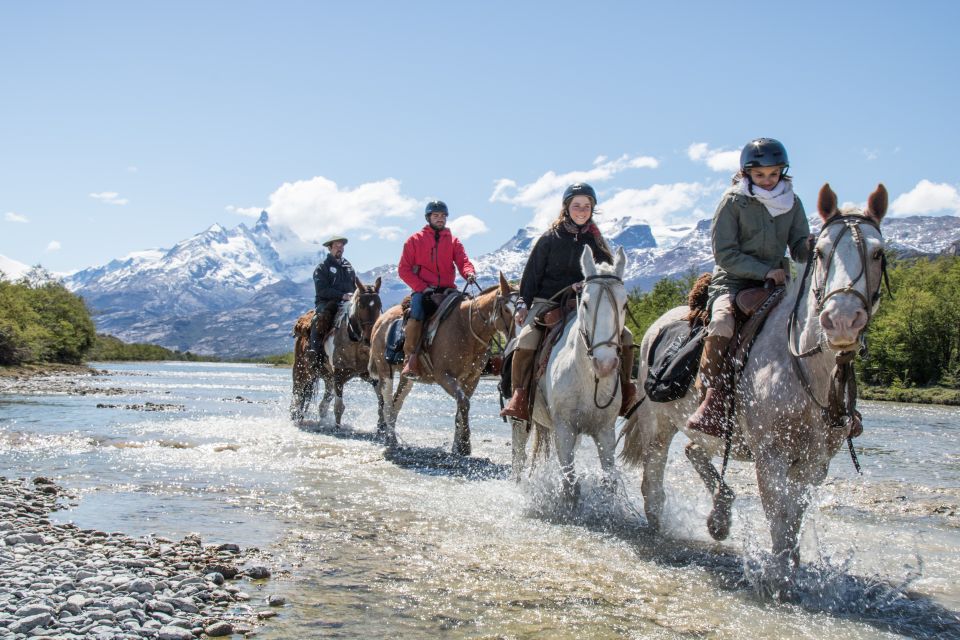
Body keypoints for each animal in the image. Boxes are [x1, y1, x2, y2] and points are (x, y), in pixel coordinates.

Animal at [290, 278, 384, 428]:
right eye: (360, 305)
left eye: (378, 305)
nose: (369, 338)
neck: (354, 344)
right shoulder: (339, 375)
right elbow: (339, 407)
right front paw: (337, 428)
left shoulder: (371, 376)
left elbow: (382, 402)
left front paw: (382, 427)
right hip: (301, 371)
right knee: (297, 396)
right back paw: (295, 417)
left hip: (327, 377)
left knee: (322, 405)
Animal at [368, 272, 516, 458]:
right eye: (506, 309)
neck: (466, 327)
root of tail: (380, 321)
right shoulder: (443, 376)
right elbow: (464, 403)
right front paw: (465, 445)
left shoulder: (472, 379)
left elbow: (461, 408)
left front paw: (457, 447)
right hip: (384, 371)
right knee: (387, 403)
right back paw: (390, 439)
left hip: (406, 378)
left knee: (396, 403)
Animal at [512, 245, 628, 500]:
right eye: (585, 303)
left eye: (624, 304)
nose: (605, 364)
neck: (587, 379)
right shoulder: (564, 429)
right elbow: (570, 486)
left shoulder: (605, 431)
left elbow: (609, 483)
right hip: (520, 419)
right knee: (518, 454)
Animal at [620, 181, 888, 592]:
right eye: (822, 252)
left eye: (877, 253)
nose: (842, 319)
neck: (801, 366)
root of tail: (660, 322)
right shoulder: (770, 455)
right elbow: (779, 515)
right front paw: (777, 577)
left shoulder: (815, 463)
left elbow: (794, 518)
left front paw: (790, 570)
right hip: (659, 425)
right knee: (654, 475)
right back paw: (663, 524)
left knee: (694, 451)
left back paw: (719, 517)